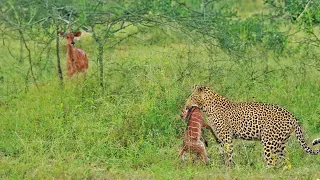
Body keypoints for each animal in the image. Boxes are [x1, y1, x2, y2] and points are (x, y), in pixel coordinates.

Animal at [182, 85, 320, 167]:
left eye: (191, 97)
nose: (185, 106)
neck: (207, 106)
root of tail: (292, 116)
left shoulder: (226, 137)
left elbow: (228, 154)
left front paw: (228, 168)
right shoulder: (223, 137)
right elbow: (224, 153)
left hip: (269, 141)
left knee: (271, 162)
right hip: (280, 143)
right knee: (283, 160)